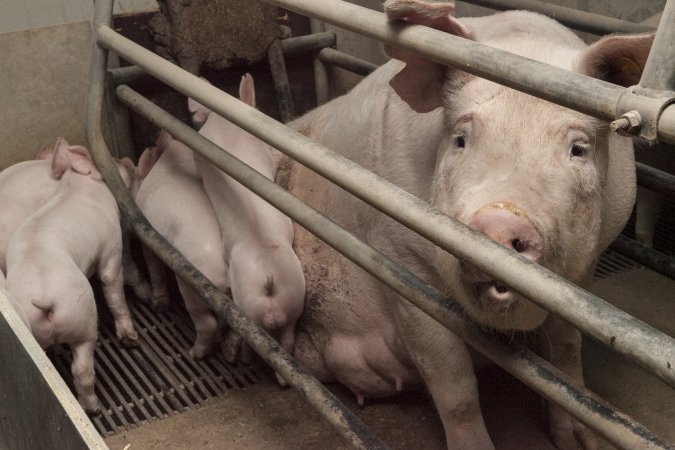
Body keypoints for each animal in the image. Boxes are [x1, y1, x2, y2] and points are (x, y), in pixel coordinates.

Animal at [4, 140, 140, 412]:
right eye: (111, 161)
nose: (128, 160)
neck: (78, 185)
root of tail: (46, 299)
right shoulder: (112, 244)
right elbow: (112, 284)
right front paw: (131, 338)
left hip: (36, 327)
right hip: (83, 320)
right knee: (82, 368)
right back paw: (93, 408)